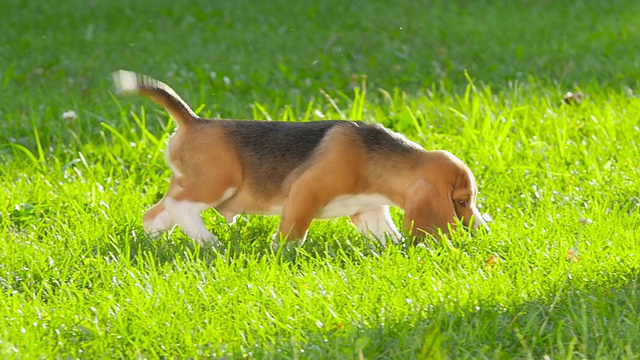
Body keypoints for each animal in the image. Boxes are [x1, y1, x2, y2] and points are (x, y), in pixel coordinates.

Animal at [112, 71, 488, 249]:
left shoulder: (368, 211)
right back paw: (210, 243)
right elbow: (293, 233)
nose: (483, 231)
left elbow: (387, 233)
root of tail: (194, 120)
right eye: (461, 201)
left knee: (155, 215)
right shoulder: (306, 193)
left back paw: (161, 243)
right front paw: (282, 254)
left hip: (191, 184)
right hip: (217, 182)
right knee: (181, 207)